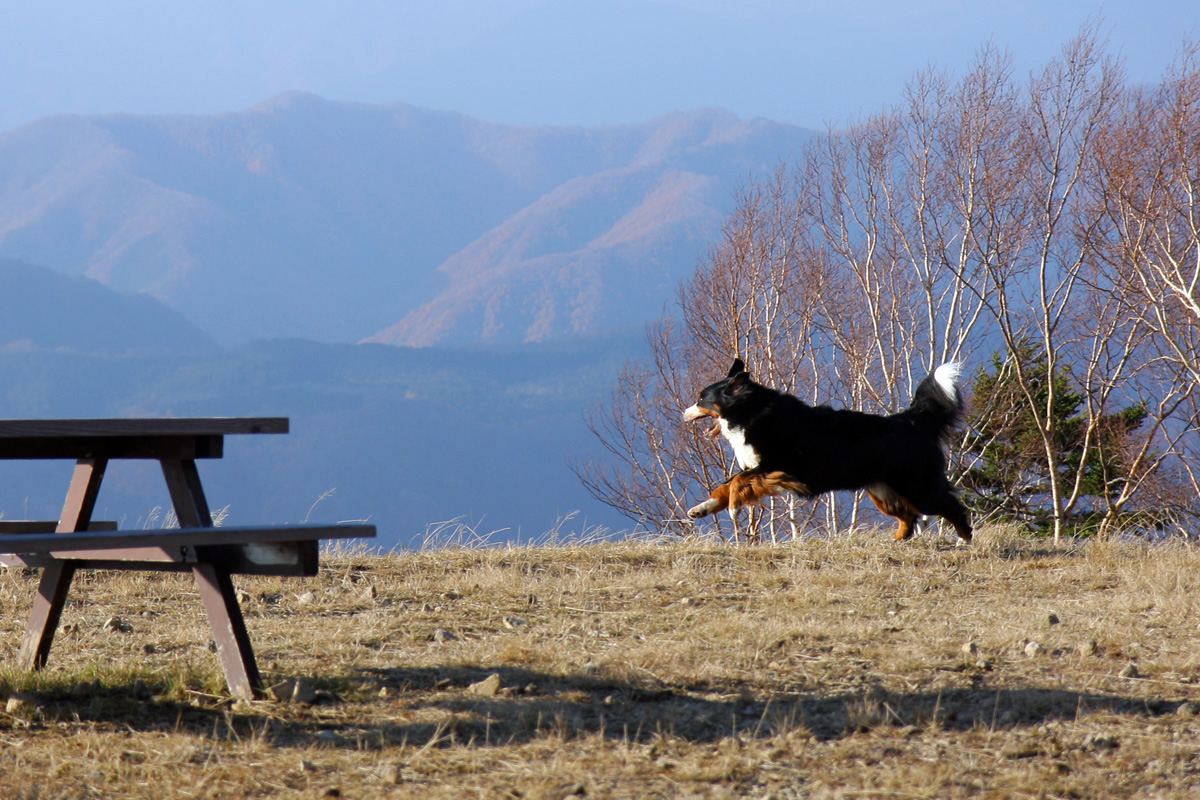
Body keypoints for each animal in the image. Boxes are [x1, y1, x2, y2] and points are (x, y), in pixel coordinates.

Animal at [681, 362, 969, 544]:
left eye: (701, 399)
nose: (684, 413)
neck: (749, 413)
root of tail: (910, 421)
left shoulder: (779, 466)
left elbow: (738, 483)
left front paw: (733, 507)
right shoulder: (760, 468)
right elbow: (725, 483)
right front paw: (701, 509)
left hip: (917, 487)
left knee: (953, 508)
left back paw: (963, 542)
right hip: (882, 490)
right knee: (908, 517)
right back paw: (895, 542)